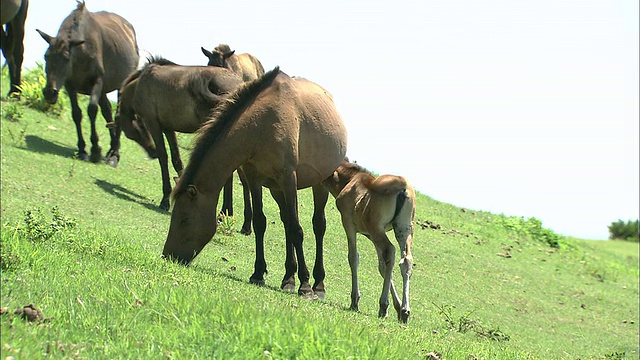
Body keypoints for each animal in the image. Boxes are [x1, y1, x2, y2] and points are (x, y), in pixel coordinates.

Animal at [36, 0, 139, 167]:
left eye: (66, 57)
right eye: (46, 56)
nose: (50, 92)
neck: (81, 52)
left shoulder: (97, 81)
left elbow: (92, 109)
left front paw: (95, 149)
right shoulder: (70, 85)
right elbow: (77, 113)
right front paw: (83, 150)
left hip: (121, 86)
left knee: (118, 115)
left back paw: (114, 155)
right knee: (108, 112)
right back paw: (111, 149)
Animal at [115, 56, 250, 221]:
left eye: (132, 134)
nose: (151, 153)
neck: (140, 84)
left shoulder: (153, 123)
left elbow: (163, 157)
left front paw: (165, 200)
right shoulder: (168, 128)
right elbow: (176, 160)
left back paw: (225, 212)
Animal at [162, 67, 348, 298]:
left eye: (184, 219)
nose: (167, 255)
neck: (262, 125)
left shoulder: (288, 177)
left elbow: (297, 230)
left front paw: (305, 285)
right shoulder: (255, 178)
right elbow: (261, 223)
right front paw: (258, 273)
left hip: (318, 183)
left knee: (317, 225)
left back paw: (318, 284)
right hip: (277, 189)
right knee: (286, 221)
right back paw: (288, 278)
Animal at [322, 160, 418, 324]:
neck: (352, 179)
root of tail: (403, 187)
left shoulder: (349, 224)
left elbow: (353, 257)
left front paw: (355, 301)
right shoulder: (370, 235)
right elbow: (382, 267)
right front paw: (398, 307)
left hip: (378, 229)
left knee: (390, 250)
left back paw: (383, 306)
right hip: (403, 229)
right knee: (405, 260)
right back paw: (404, 311)